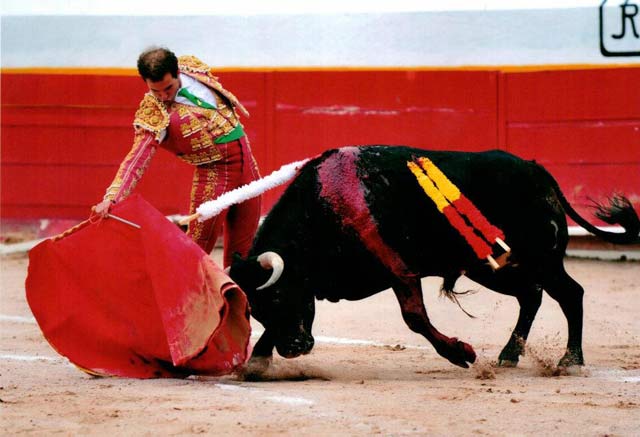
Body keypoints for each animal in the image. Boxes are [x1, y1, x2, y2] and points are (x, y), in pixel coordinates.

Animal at [230, 146, 640, 372]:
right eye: (257, 308)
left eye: (278, 296)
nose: (294, 350)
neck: (325, 209)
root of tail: (536, 170)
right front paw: (258, 360)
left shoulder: (400, 271)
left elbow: (415, 318)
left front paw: (462, 353)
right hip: (491, 267)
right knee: (531, 296)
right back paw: (509, 355)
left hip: (541, 259)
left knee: (570, 294)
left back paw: (571, 361)